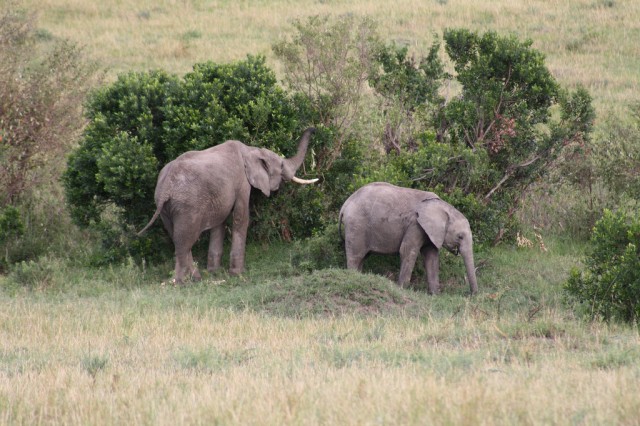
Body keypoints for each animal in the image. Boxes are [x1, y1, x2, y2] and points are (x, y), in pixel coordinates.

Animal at [141, 128, 318, 284]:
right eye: (281, 166)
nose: (314, 129)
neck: (251, 150)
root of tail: (166, 185)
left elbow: (219, 222)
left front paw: (214, 272)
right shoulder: (242, 182)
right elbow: (241, 217)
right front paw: (237, 274)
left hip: (166, 207)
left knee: (177, 238)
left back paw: (195, 278)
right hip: (187, 206)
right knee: (184, 242)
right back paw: (184, 282)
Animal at [338, 181, 478, 294]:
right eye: (460, 236)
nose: (472, 295)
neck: (444, 207)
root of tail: (345, 205)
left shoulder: (430, 232)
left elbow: (431, 257)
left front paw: (435, 295)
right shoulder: (415, 224)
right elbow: (407, 251)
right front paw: (401, 289)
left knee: (362, 257)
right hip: (356, 225)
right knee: (356, 255)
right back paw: (353, 276)